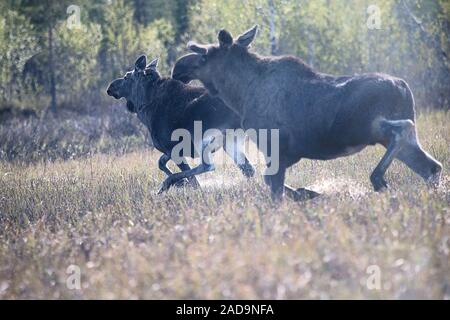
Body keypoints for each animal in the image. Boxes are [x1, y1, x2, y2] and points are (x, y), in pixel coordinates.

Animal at [105, 55, 253, 192]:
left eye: (126, 76)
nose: (110, 87)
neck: (144, 107)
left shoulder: (174, 148)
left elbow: (192, 180)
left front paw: (178, 182)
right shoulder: (168, 149)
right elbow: (160, 163)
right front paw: (180, 182)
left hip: (203, 136)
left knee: (208, 165)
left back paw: (167, 183)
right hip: (229, 140)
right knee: (249, 169)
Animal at [173, 26, 442, 200]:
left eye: (205, 55)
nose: (178, 67)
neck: (239, 94)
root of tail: (405, 88)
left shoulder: (276, 147)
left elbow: (274, 188)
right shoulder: (282, 154)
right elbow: (272, 182)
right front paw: (309, 193)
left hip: (370, 128)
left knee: (403, 130)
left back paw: (378, 179)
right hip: (396, 141)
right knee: (432, 167)